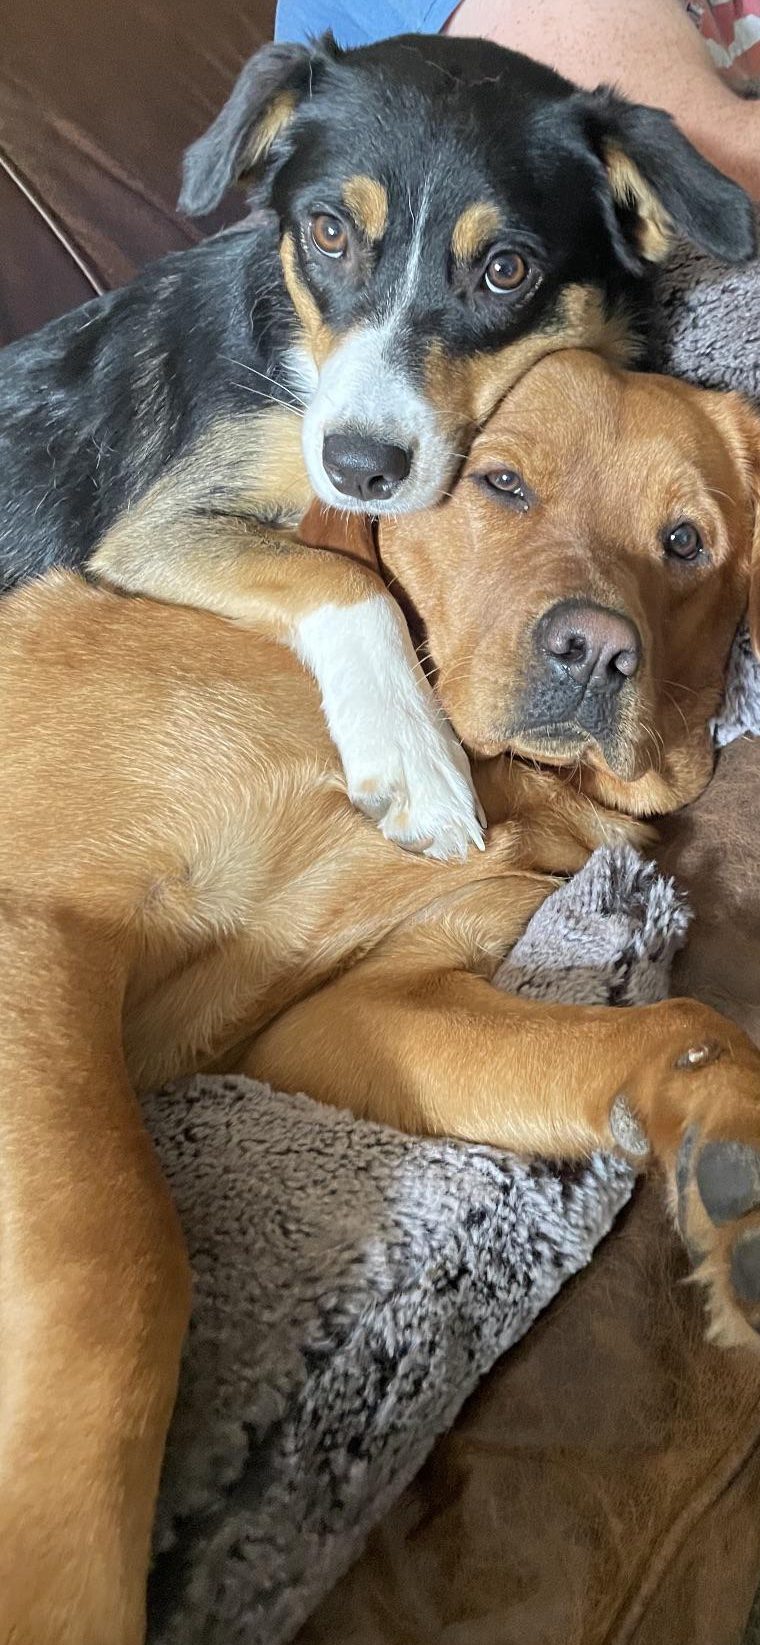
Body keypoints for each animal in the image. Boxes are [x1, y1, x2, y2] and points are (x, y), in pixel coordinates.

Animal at [0, 28, 753, 861]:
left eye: (507, 270)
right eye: (329, 232)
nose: (358, 470)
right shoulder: (151, 532)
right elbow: (344, 576)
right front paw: (415, 759)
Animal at [1, 350, 760, 1645]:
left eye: (684, 542)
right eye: (501, 483)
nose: (598, 649)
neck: (493, 769)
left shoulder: (360, 1004)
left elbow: (677, 1027)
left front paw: (734, 1142)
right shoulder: (38, 925)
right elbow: (125, 1262)